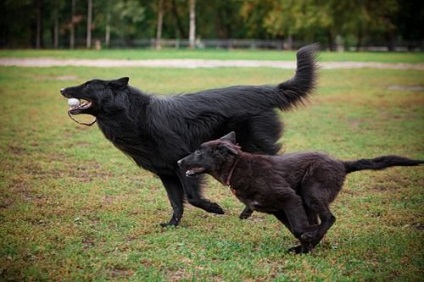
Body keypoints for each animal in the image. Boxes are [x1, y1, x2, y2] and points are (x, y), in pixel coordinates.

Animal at [59, 44, 318, 227]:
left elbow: (192, 197)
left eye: (88, 85)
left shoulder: (183, 162)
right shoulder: (166, 172)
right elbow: (176, 202)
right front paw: (173, 224)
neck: (136, 114)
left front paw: (214, 208)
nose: (62, 89)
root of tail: (266, 91)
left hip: (257, 147)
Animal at [179, 132, 424, 253]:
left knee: (329, 218)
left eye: (199, 152)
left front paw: (307, 243)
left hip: (311, 192)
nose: (179, 162)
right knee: (320, 220)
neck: (237, 167)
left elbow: (299, 228)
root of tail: (342, 164)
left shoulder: (290, 199)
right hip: (308, 200)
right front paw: (305, 248)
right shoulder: (279, 210)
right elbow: (295, 229)